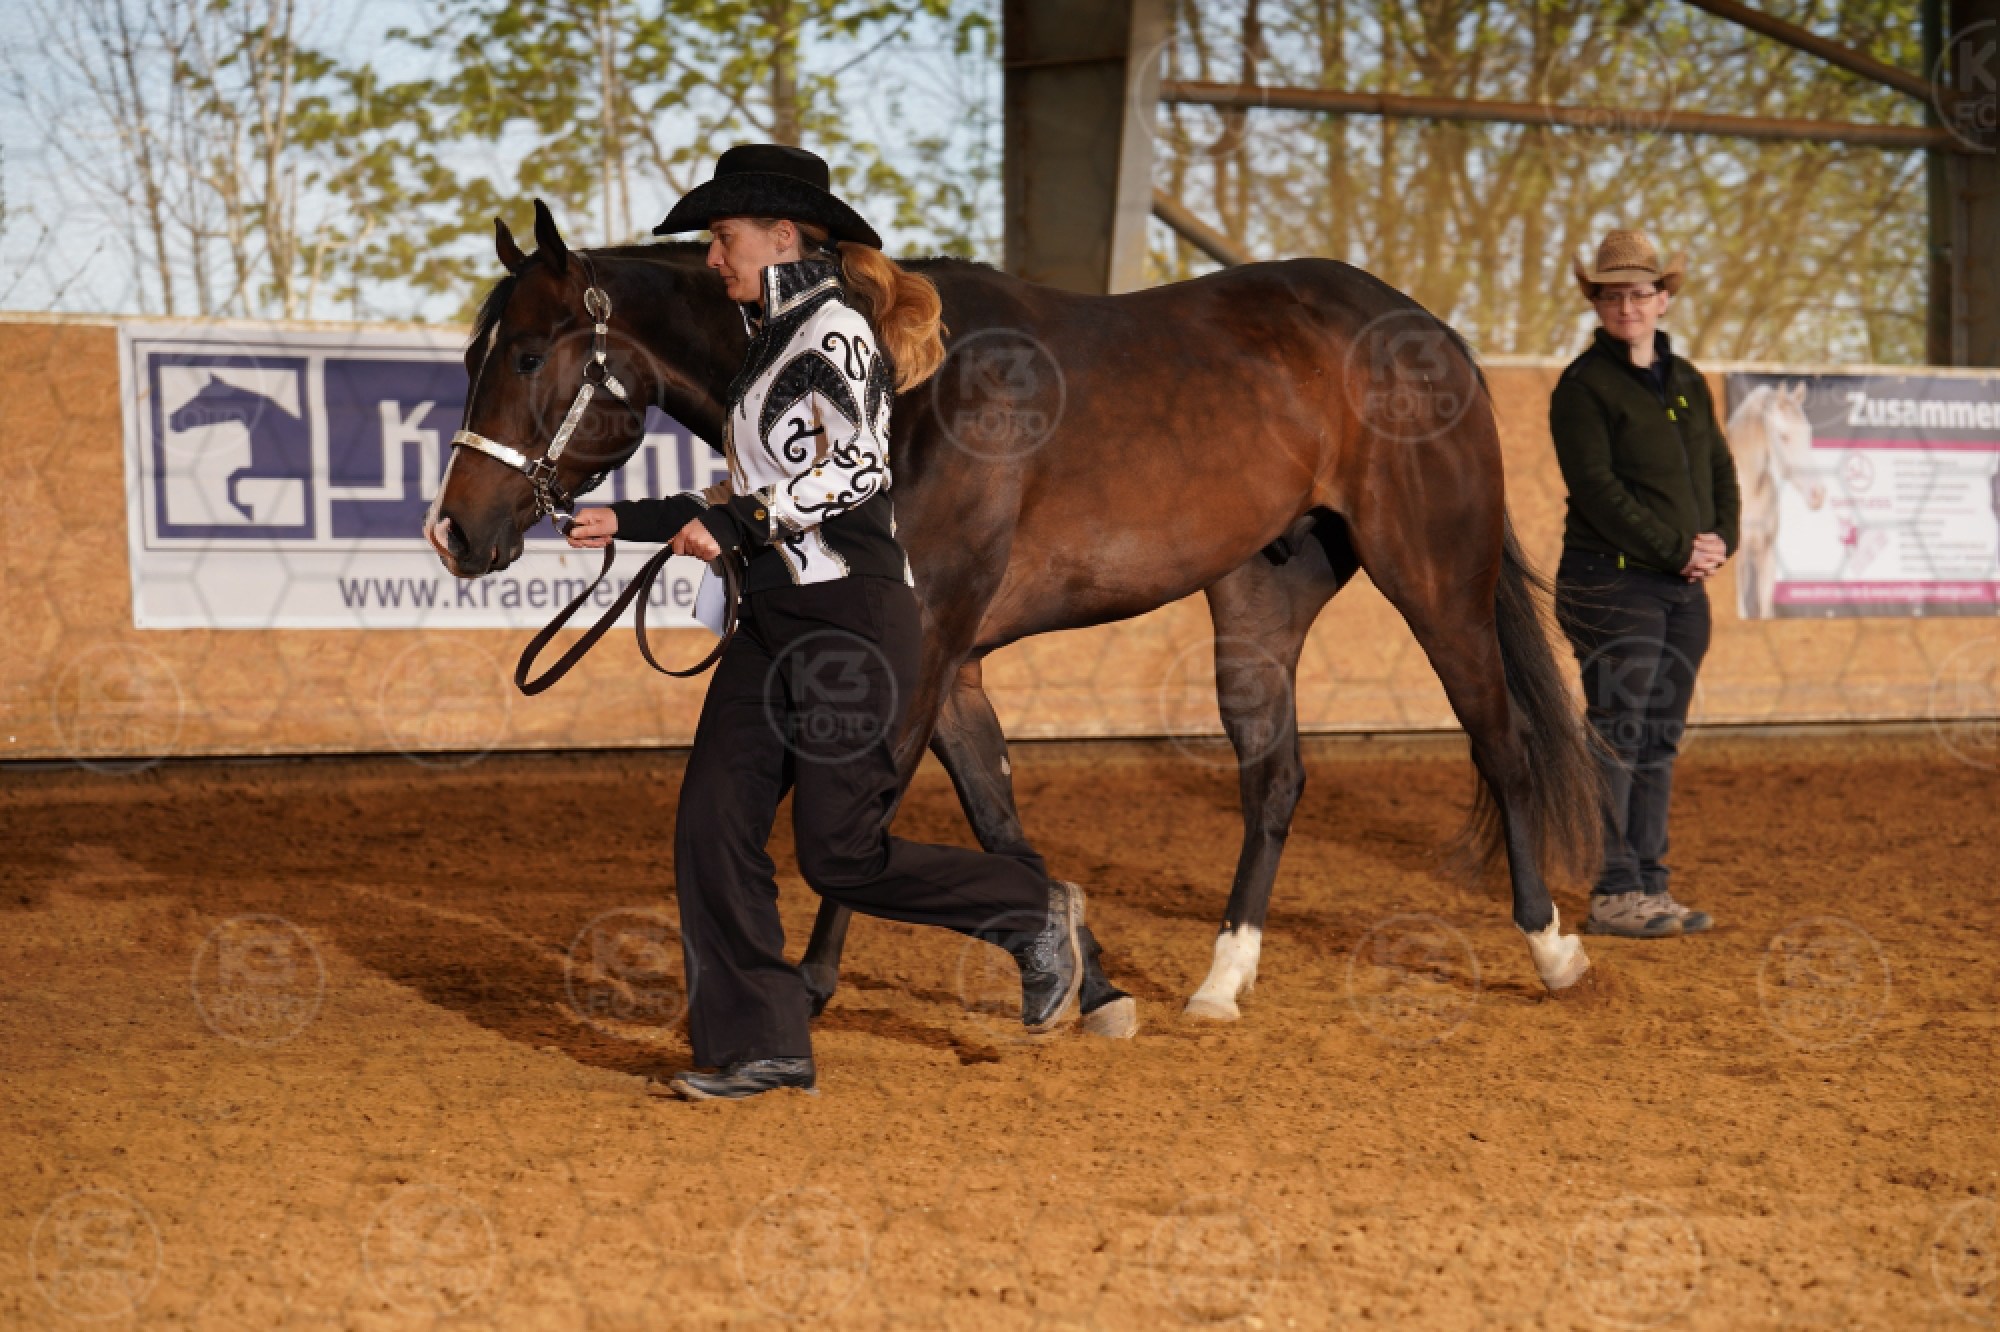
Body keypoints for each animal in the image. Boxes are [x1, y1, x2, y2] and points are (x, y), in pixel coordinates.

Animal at [426, 200, 1604, 1036]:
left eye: (524, 356)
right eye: (473, 357)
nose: (453, 532)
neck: (909, 401)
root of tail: (1425, 328)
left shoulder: (921, 648)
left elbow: (867, 821)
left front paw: (808, 985)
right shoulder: (955, 666)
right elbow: (994, 817)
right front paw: (1088, 981)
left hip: (1434, 575)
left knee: (1501, 742)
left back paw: (1554, 952)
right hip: (1257, 599)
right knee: (1274, 776)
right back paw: (1221, 981)